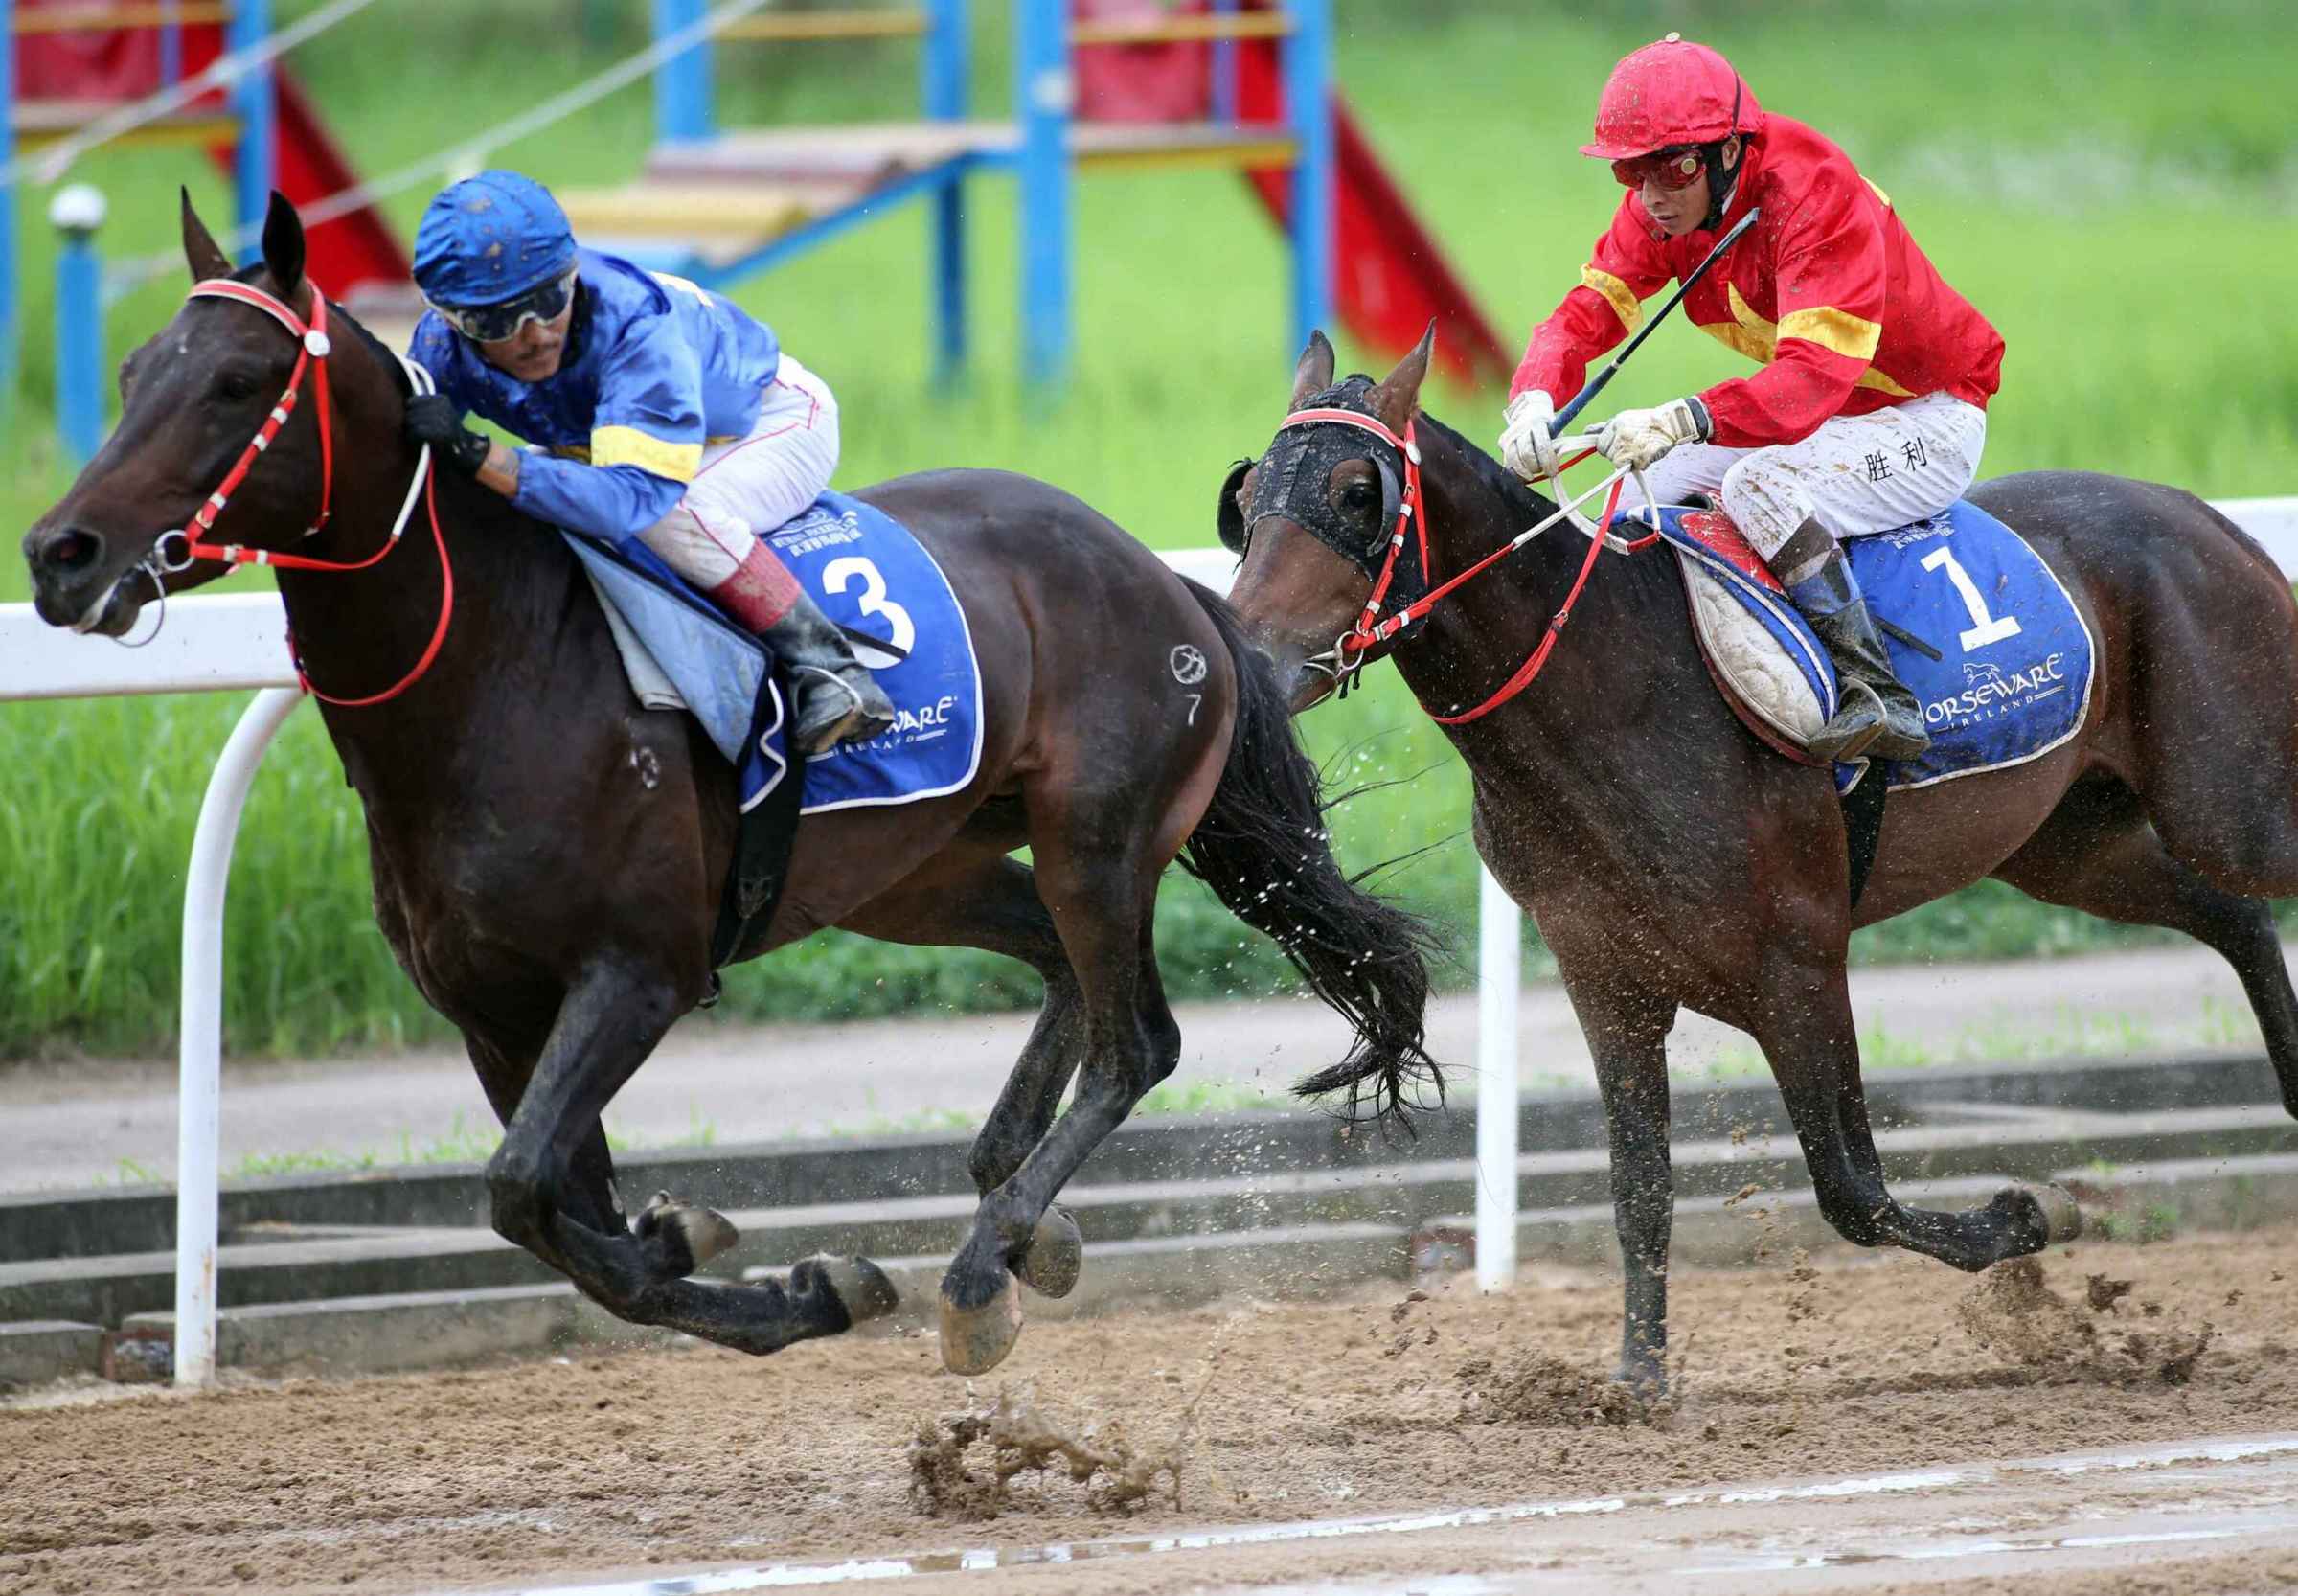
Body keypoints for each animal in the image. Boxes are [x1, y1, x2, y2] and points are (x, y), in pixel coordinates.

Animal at [22, 196, 1433, 1379]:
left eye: (238, 382)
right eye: (136, 372)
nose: (59, 552)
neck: (496, 672)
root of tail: (1169, 582)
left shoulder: (637, 971)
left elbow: (523, 1186)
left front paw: (770, 1272)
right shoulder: (492, 1013)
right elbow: (555, 1208)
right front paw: (731, 1259)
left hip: (1099, 829)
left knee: (1134, 1036)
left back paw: (983, 1267)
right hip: (915, 869)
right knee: (1056, 971)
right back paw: (1019, 1213)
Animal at [1231, 329, 2298, 1398]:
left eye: (1356, 490)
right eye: (1243, 498)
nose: (1253, 660)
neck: (1612, 684)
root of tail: (2204, 515)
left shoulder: (1798, 962)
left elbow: (1853, 1190)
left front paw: (2031, 1212)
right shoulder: (1607, 976)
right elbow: (1640, 1187)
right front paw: (1637, 1376)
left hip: (2226, 799)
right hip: (2067, 843)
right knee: (2231, 914)